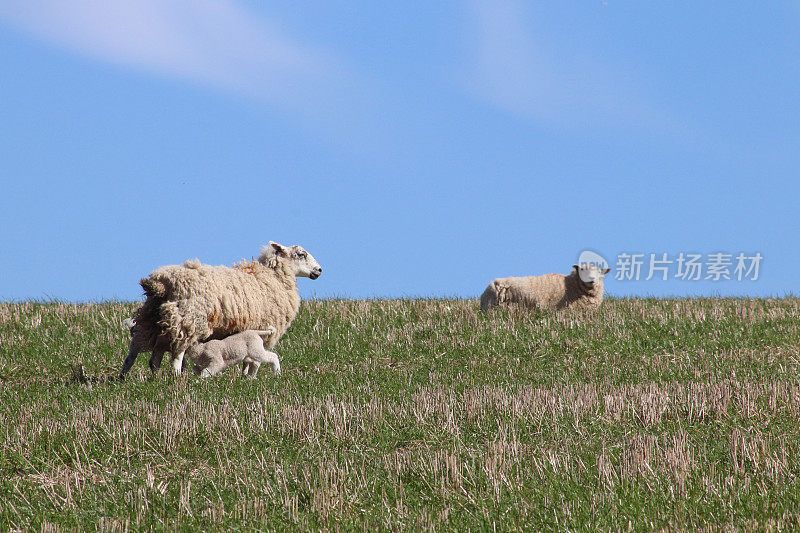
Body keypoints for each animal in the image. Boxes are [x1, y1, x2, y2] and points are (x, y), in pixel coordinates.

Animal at [119, 241, 318, 378]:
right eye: (301, 254)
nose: (319, 270)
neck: (273, 277)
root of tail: (161, 283)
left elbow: (248, 358)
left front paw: (245, 377)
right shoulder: (262, 327)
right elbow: (254, 359)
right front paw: (249, 376)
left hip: (152, 321)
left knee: (142, 355)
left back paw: (132, 378)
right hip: (188, 320)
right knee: (177, 354)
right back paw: (175, 377)